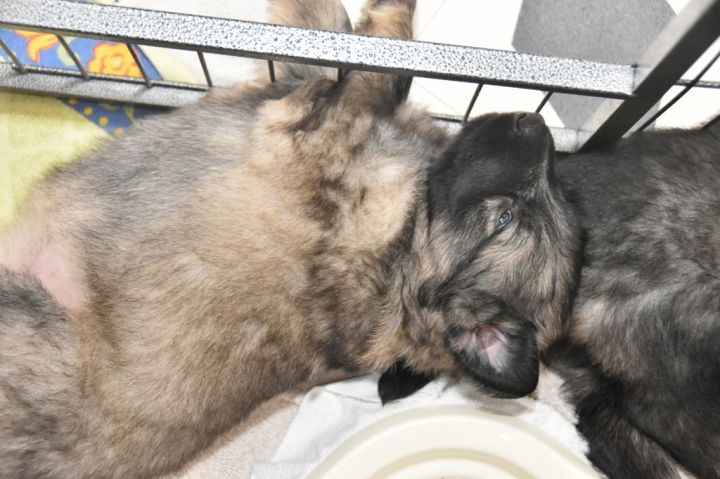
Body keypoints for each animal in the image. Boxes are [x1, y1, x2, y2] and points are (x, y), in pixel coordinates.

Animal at [0, 0, 579, 477]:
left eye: (505, 221)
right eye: (559, 193)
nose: (537, 126)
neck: (404, 256)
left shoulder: (316, 119)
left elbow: (384, 62)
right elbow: (363, 50)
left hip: (24, 304)